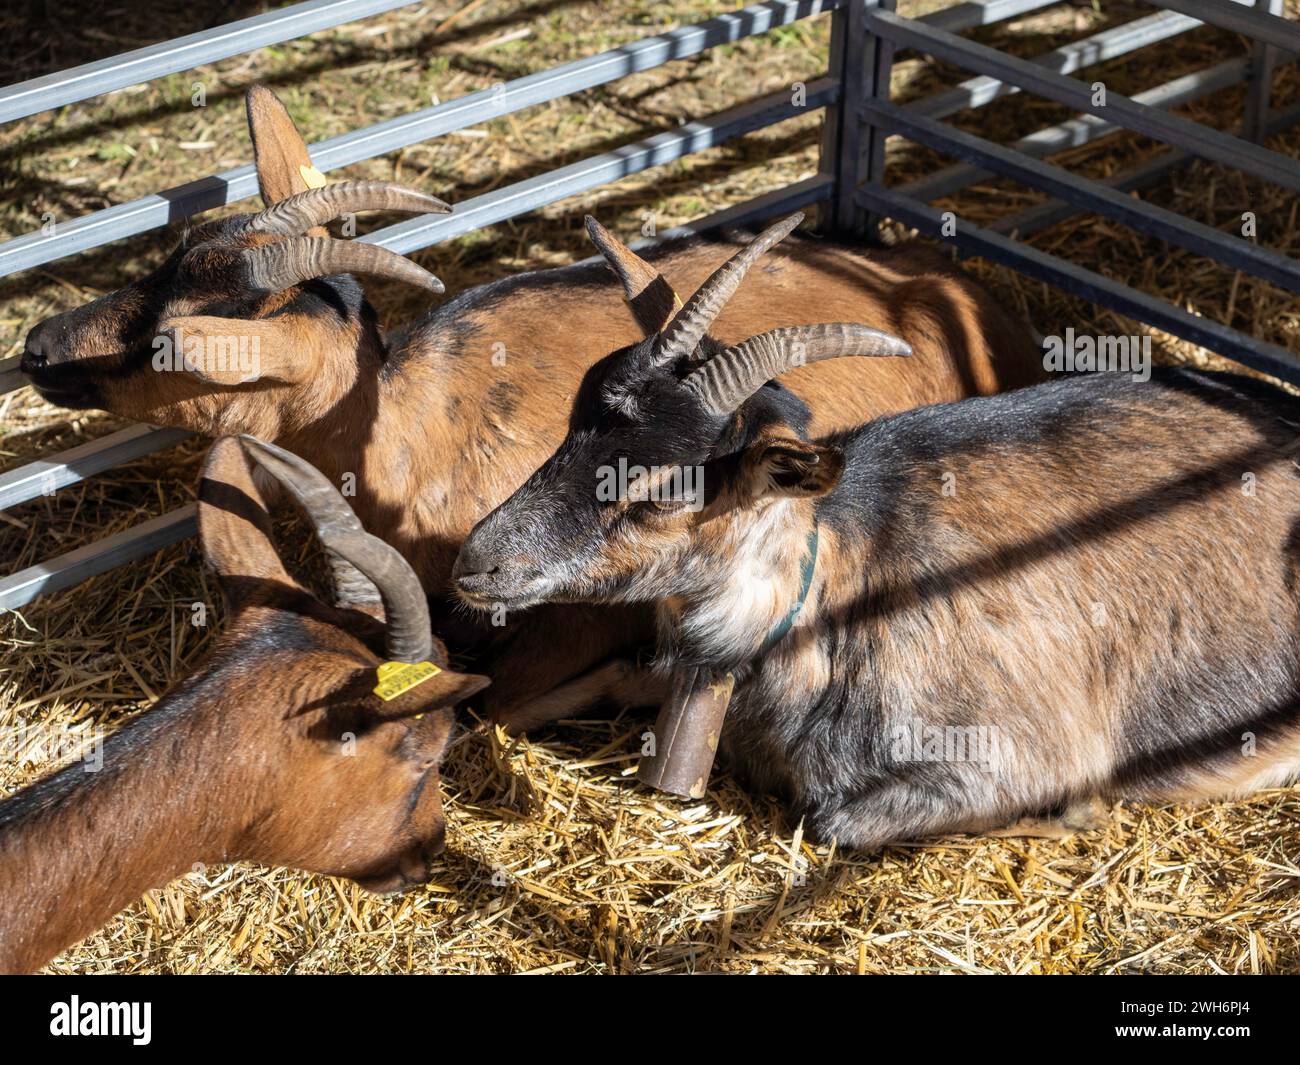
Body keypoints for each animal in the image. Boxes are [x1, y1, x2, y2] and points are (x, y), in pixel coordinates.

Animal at [17, 83, 1045, 717]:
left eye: (175, 346)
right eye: (174, 253)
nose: (36, 346)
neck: (412, 434)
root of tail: (989, 310)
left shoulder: (583, 599)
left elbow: (501, 704)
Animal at [452, 214, 1300, 847]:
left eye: (664, 492)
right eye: (576, 416)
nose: (478, 562)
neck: (828, 596)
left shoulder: (1008, 750)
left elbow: (836, 820)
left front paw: (1073, 811)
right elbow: (516, 703)